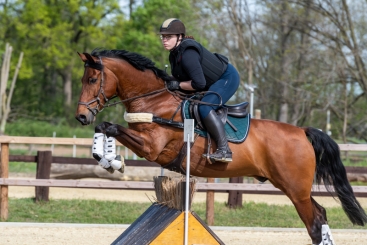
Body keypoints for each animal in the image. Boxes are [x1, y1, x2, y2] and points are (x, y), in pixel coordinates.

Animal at [75, 48, 367, 244]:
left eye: (92, 80)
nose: (81, 117)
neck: (155, 101)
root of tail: (303, 132)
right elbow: (104, 127)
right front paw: (106, 158)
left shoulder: (151, 148)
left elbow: (112, 127)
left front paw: (112, 160)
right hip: (292, 187)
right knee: (320, 215)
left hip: (296, 190)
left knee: (314, 222)